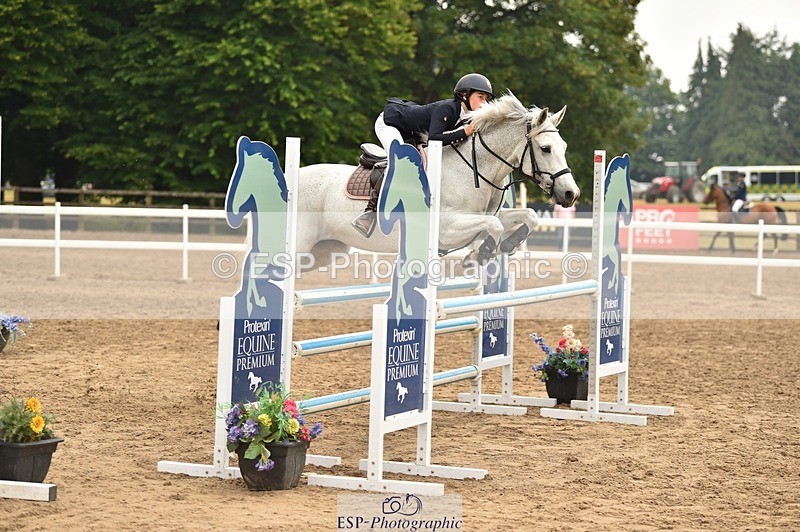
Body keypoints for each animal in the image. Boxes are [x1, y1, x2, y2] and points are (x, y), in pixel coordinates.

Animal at [294, 92, 579, 268]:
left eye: (564, 146)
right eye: (545, 149)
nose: (571, 194)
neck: (472, 170)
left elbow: (527, 216)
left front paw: (504, 246)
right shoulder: (447, 227)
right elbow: (494, 225)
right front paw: (479, 255)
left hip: (323, 252)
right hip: (300, 247)